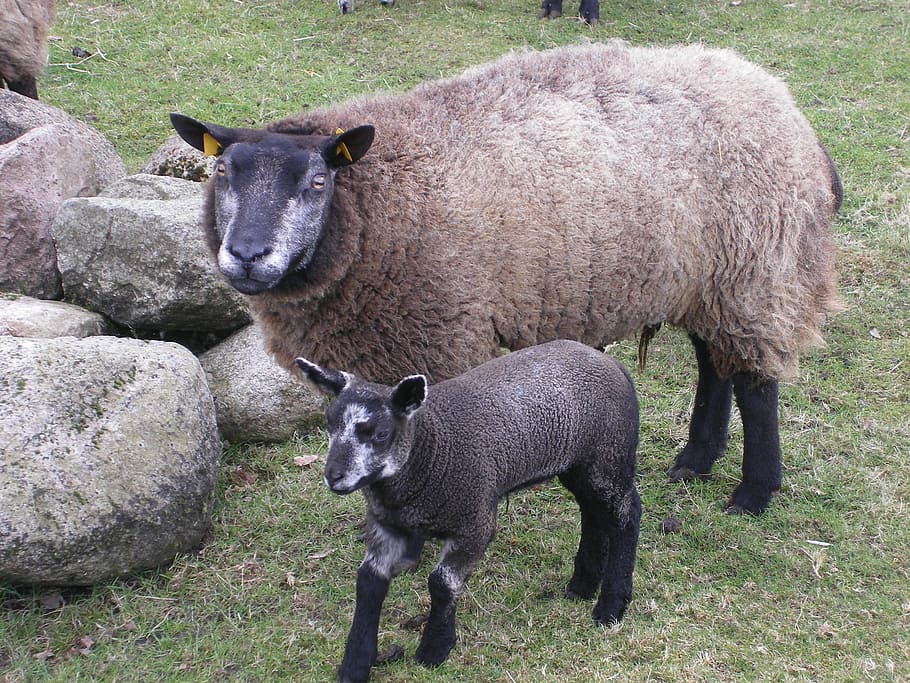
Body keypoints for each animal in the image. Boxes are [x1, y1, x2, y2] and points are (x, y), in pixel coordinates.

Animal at [169, 40, 842, 516]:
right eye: (221, 173)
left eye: (316, 182)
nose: (248, 254)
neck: (376, 208)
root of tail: (780, 99)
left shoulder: (432, 338)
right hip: (709, 277)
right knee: (714, 364)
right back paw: (695, 459)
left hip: (757, 269)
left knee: (756, 383)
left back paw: (753, 492)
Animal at [296, 339, 641, 681]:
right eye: (329, 425)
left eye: (381, 434)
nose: (334, 476)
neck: (430, 452)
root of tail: (613, 365)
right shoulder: (386, 526)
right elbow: (369, 581)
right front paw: (354, 665)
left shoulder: (476, 523)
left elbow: (441, 583)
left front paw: (434, 650)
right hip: (578, 464)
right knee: (593, 514)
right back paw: (581, 587)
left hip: (608, 455)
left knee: (626, 515)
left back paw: (610, 605)